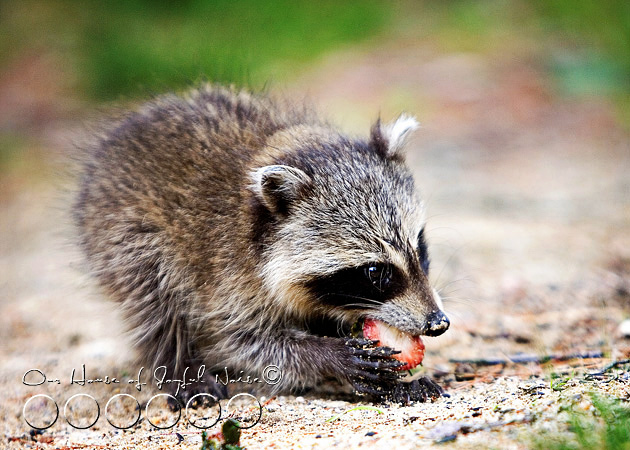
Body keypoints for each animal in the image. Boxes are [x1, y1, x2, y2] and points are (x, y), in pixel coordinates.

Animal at [74, 84, 450, 404]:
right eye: (374, 271)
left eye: (420, 248)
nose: (438, 323)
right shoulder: (225, 272)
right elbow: (241, 341)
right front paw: (327, 357)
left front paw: (391, 382)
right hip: (127, 235)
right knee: (154, 305)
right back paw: (178, 367)